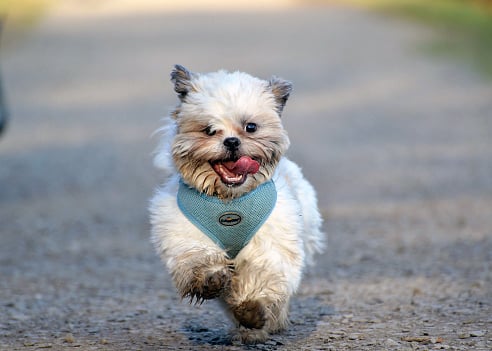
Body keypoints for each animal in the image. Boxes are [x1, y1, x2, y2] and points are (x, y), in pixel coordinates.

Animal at [150, 65, 326, 344]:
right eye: (209, 130)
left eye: (250, 126)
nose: (232, 141)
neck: (228, 200)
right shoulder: (183, 231)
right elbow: (196, 255)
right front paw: (209, 277)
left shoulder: (270, 244)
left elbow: (261, 275)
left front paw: (252, 310)